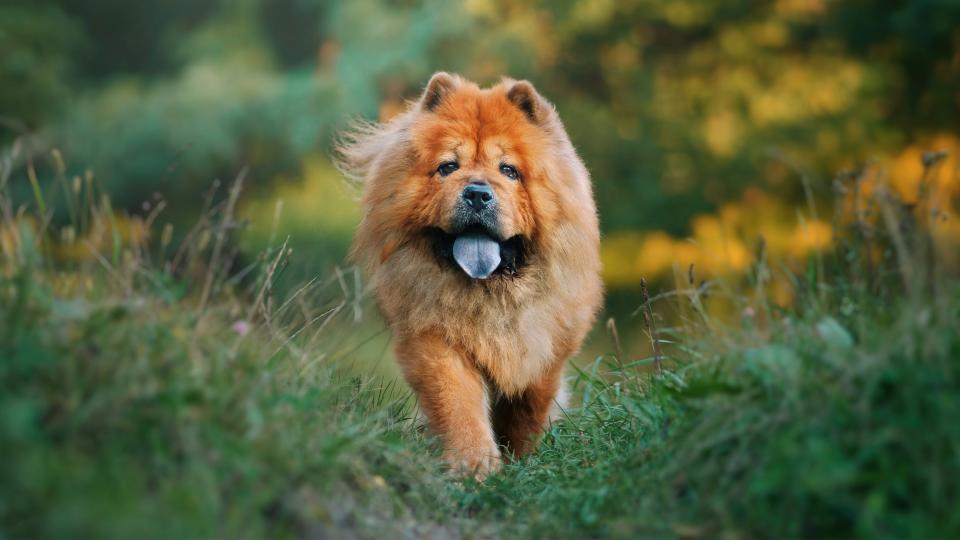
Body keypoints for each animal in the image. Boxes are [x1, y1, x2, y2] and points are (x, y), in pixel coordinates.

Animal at [340, 73, 600, 476]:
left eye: (508, 170)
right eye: (448, 167)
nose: (477, 193)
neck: (490, 293)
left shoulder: (547, 346)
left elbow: (528, 407)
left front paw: (521, 459)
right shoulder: (434, 337)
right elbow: (458, 404)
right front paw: (473, 465)